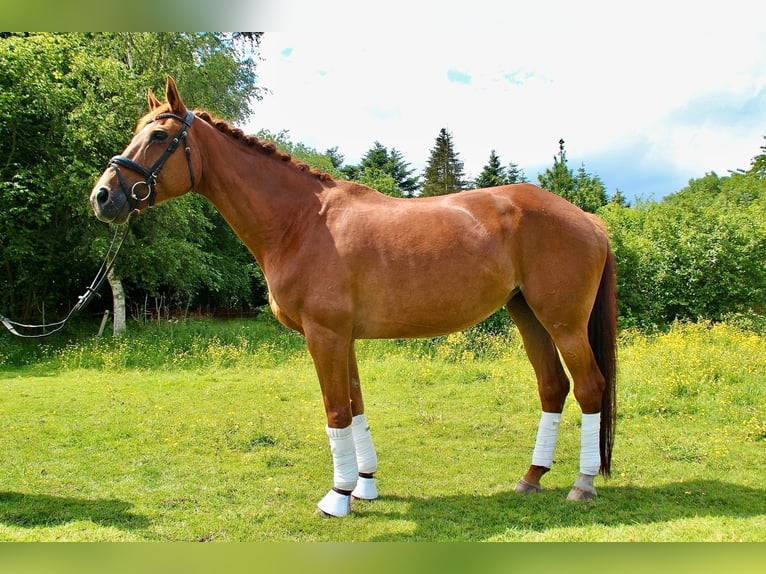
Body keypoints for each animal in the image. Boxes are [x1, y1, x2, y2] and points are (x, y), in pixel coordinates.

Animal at [91, 76, 616, 516]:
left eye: (159, 137)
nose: (102, 196)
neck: (300, 222)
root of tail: (587, 218)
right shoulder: (344, 339)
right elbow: (357, 406)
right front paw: (364, 485)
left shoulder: (324, 335)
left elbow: (336, 411)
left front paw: (338, 496)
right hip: (528, 315)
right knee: (553, 387)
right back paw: (531, 477)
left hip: (564, 322)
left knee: (590, 387)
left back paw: (582, 484)